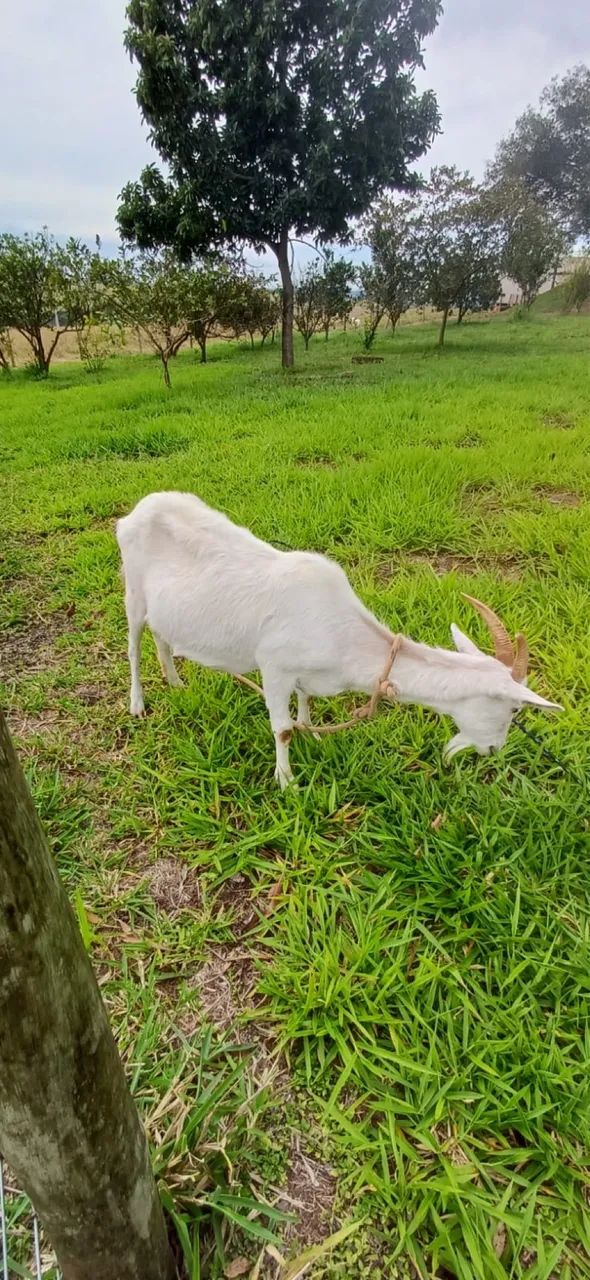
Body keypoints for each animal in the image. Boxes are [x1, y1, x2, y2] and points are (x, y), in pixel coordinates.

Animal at [116, 492, 561, 787]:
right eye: (515, 710)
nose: (494, 751)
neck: (344, 636)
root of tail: (132, 515)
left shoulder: (304, 673)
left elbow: (305, 703)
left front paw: (311, 731)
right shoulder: (273, 668)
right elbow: (281, 729)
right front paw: (287, 782)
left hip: (163, 606)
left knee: (161, 635)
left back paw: (175, 682)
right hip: (133, 592)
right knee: (134, 645)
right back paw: (138, 704)